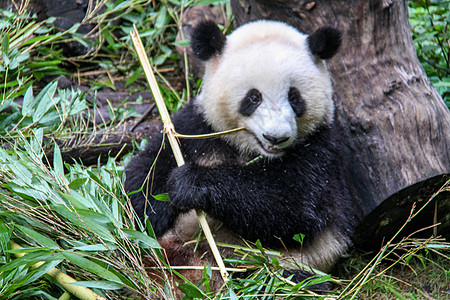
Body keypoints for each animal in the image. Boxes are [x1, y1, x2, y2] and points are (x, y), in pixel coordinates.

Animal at [125, 18, 356, 290]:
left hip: (278, 267)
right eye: (253, 97)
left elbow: (294, 205)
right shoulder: (199, 128)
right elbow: (147, 170)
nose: (276, 137)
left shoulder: (321, 151)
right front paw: (153, 212)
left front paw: (191, 183)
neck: (251, 150)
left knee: (287, 283)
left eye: (294, 97)